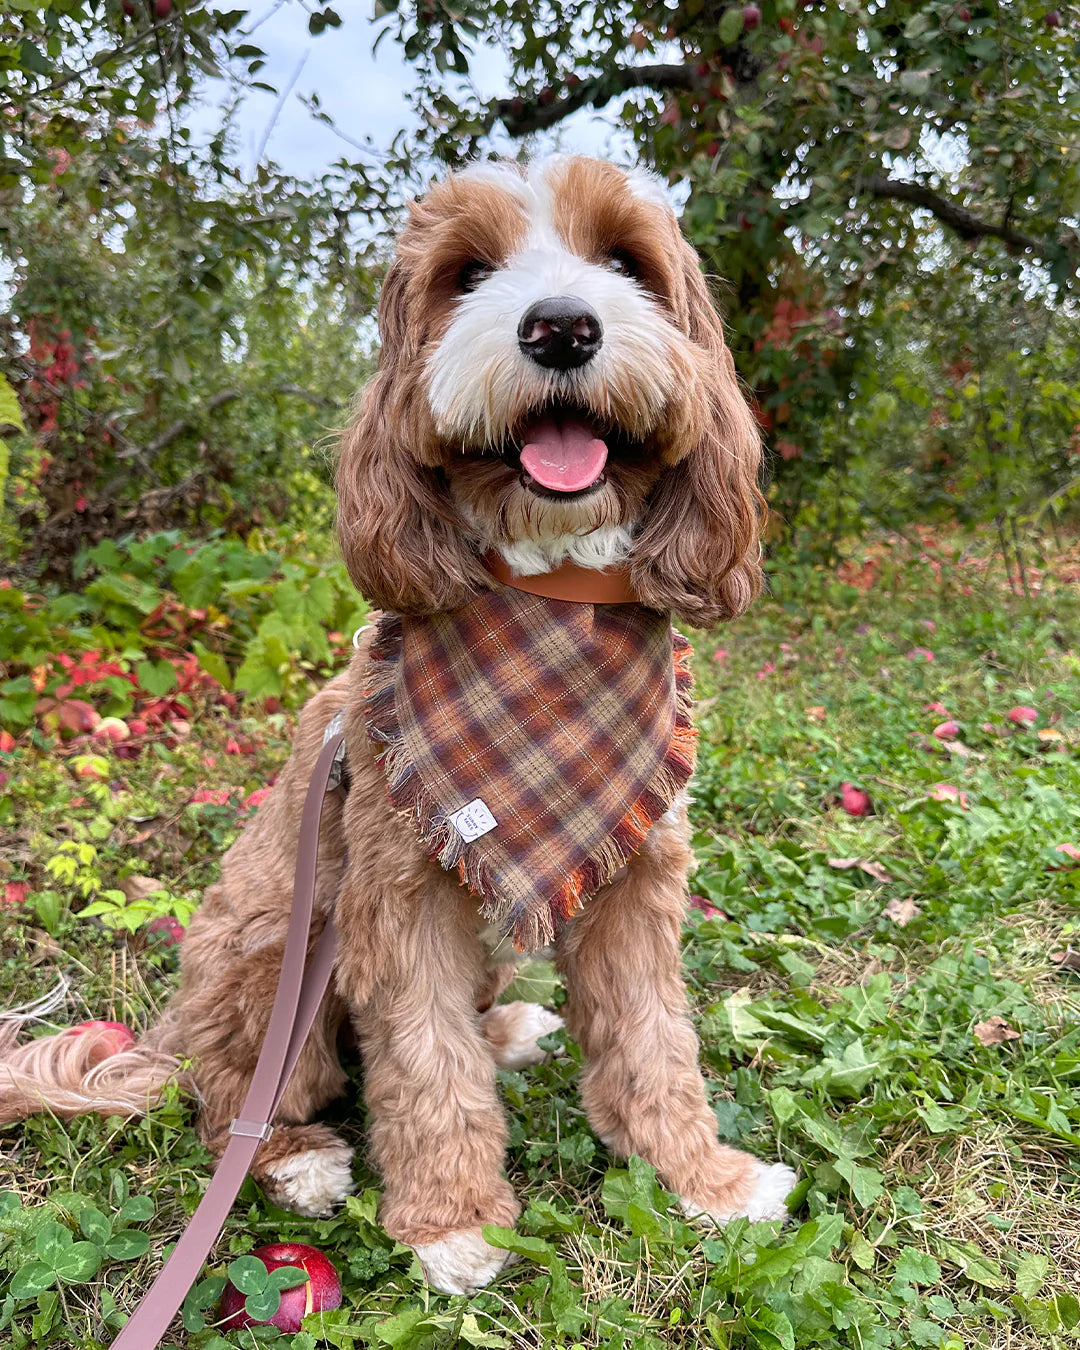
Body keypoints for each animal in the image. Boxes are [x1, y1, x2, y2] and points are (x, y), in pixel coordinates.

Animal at [0, 155, 793, 1296]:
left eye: (625, 259)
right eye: (468, 273)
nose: (562, 329)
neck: (551, 597)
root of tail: (164, 1037)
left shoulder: (636, 876)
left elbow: (655, 1040)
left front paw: (706, 1180)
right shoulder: (396, 896)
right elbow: (423, 1063)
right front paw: (453, 1222)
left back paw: (508, 1027)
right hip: (273, 953)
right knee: (233, 1105)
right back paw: (294, 1161)